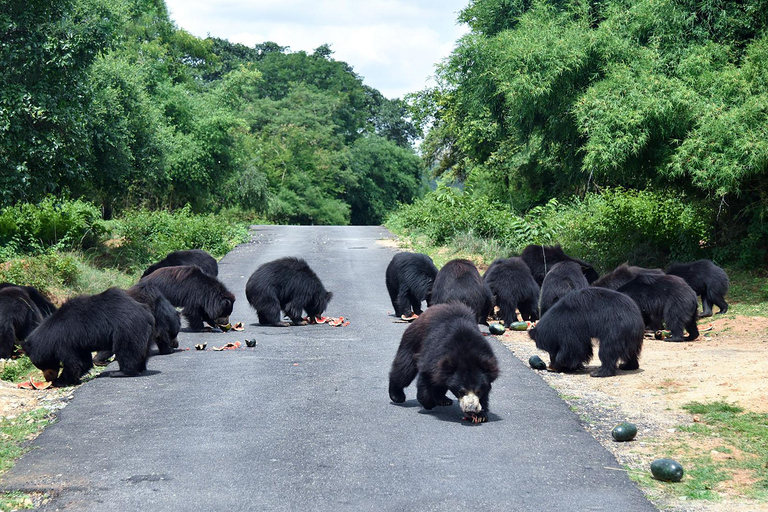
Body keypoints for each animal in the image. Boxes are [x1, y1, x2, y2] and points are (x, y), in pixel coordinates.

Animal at [22, 288, 153, 384]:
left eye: (42, 365)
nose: (48, 379)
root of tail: (146, 314)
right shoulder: (77, 342)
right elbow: (83, 361)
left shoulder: (64, 341)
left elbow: (74, 363)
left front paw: (60, 381)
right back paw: (140, 368)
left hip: (127, 329)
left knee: (126, 351)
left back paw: (121, 372)